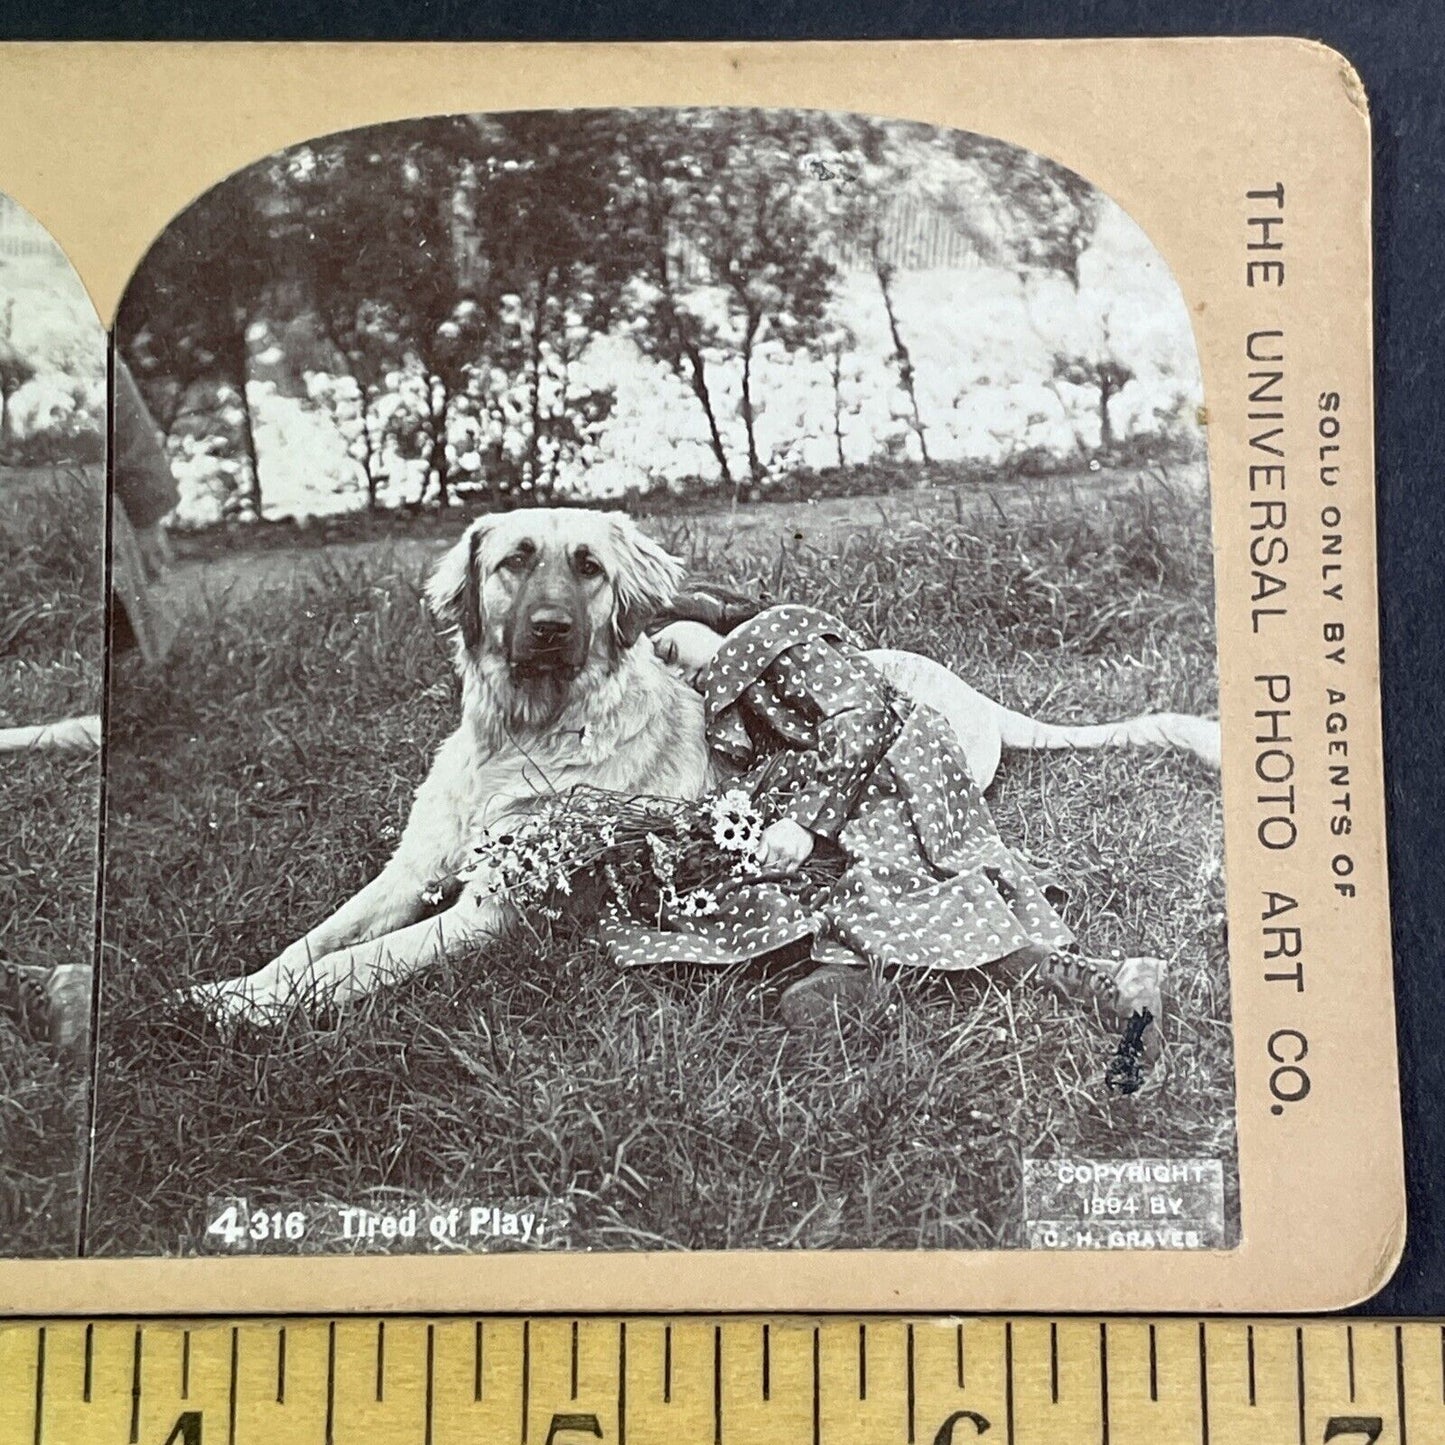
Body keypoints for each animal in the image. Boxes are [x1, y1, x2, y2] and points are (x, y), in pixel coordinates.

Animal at [192, 508, 1225, 1017]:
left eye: (588, 565)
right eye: (513, 562)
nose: (550, 628)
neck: (522, 735)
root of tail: (971, 696)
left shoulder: (493, 909)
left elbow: (362, 962)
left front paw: (251, 1009)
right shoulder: (407, 872)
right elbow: (320, 938)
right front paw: (237, 983)